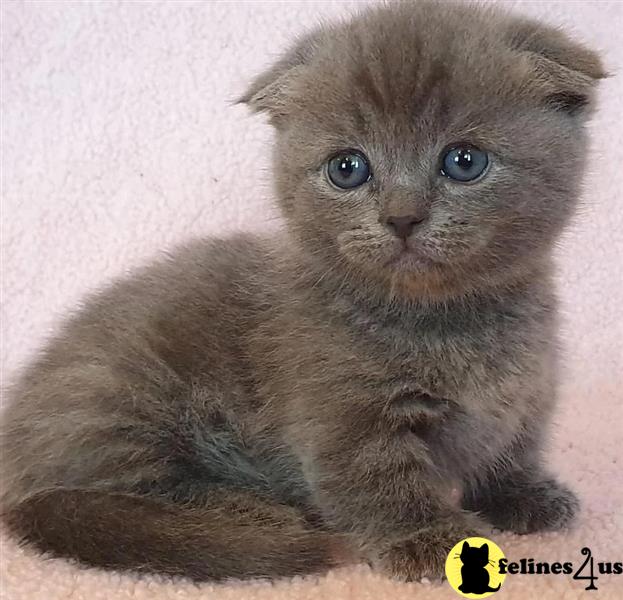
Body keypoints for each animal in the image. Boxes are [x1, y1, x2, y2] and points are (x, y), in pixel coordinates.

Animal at [0, 0, 604, 580]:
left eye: (464, 161)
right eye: (347, 168)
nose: (402, 217)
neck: (449, 319)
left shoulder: (532, 390)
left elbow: (513, 447)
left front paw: (523, 494)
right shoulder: (342, 415)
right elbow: (376, 481)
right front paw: (428, 538)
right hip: (123, 396)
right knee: (121, 496)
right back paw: (258, 512)